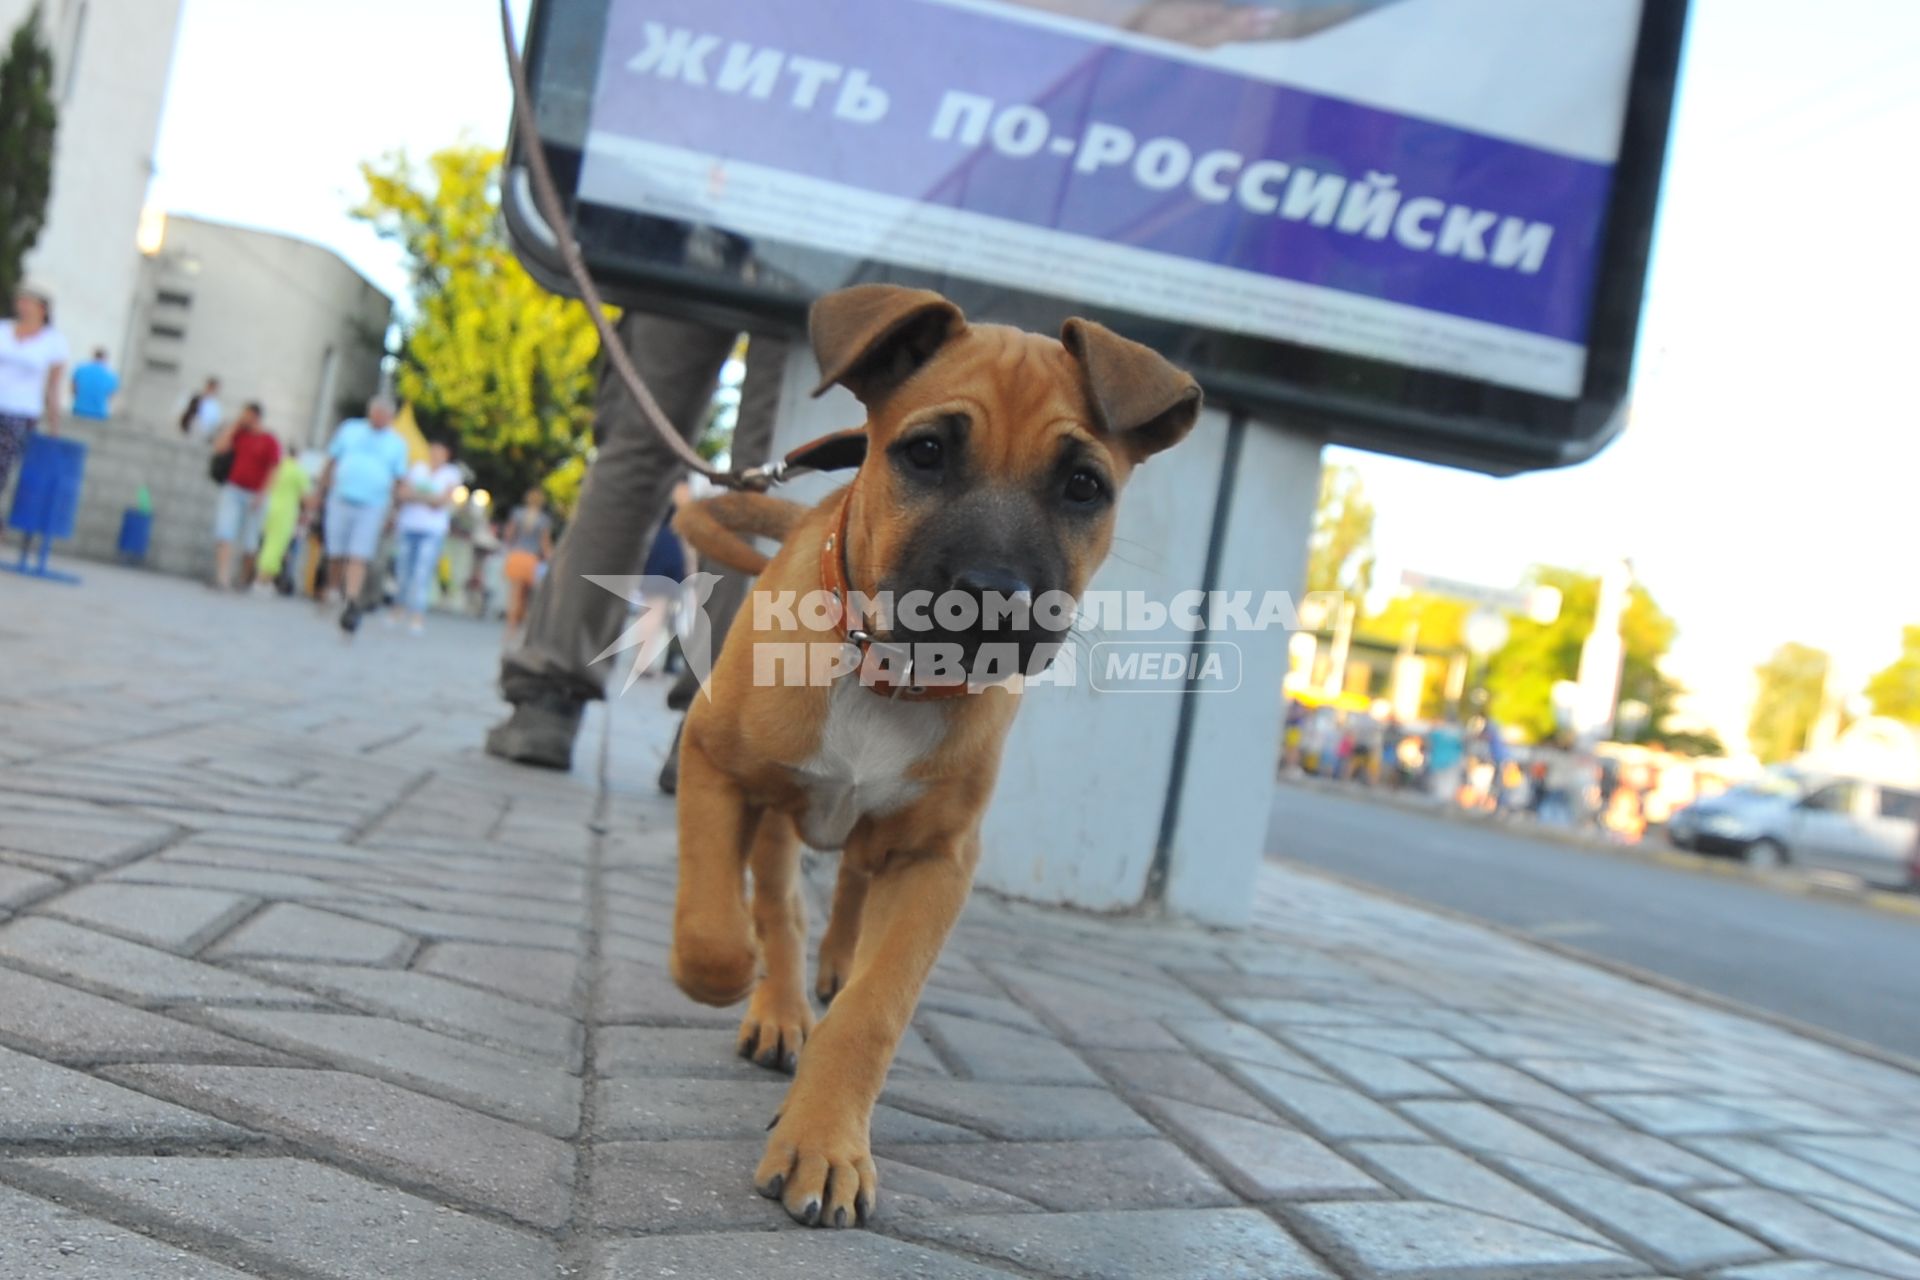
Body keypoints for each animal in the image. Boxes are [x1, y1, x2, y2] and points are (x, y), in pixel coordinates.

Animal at [668, 285, 1190, 1228]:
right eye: (927, 452)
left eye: (1084, 485)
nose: (991, 597)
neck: (892, 680)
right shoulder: (714, 760)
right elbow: (717, 929)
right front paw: (736, 982)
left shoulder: (936, 859)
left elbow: (875, 1009)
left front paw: (826, 1143)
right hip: (777, 809)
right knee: (778, 900)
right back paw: (780, 1005)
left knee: (845, 890)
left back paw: (832, 966)